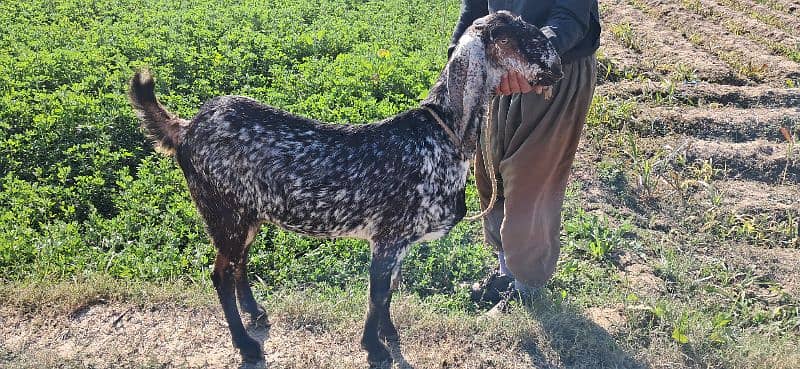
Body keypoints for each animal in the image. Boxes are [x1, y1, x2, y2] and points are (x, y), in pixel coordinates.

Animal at [128, 10, 560, 366]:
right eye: (513, 35)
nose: (556, 64)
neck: (439, 135)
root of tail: (186, 129)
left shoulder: (398, 243)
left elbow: (389, 291)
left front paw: (389, 335)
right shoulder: (388, 237)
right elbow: (376, 295)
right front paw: (375, 348)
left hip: (246, 214)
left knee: (238, 266)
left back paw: (255, 312)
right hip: (225, 213)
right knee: (221, 274)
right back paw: (246, 344)